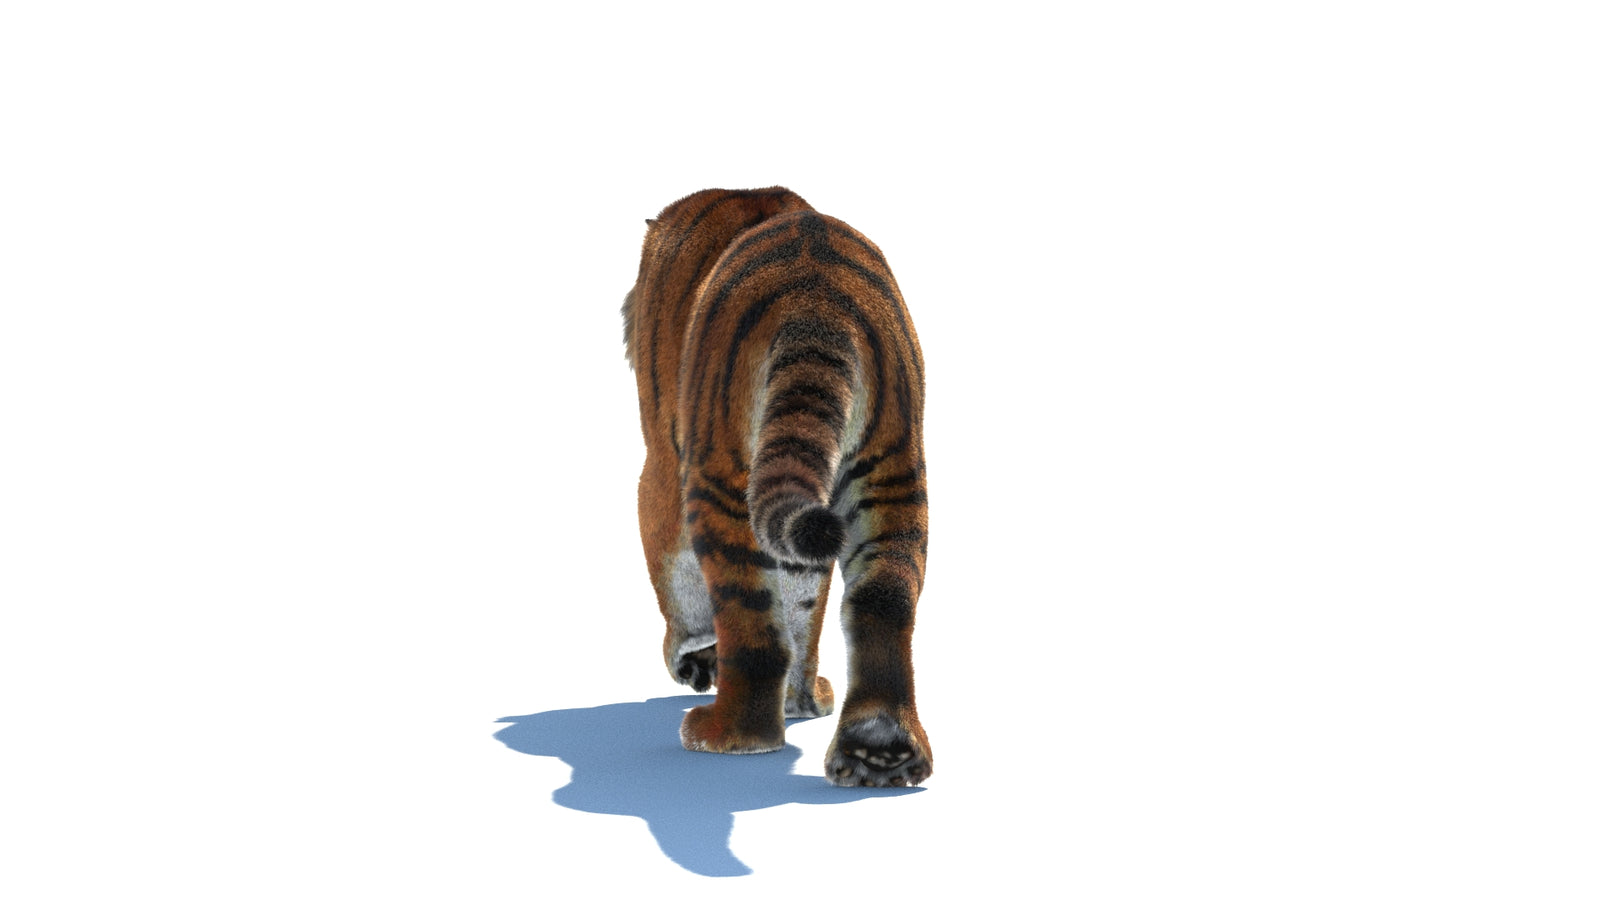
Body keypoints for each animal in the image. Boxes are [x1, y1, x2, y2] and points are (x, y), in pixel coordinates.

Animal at [621, 186, 932, 787]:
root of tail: (820, 303)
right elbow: (806, 607)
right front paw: (803, 701)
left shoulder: (662, 467)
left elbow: (675, 574)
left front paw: (692, 657)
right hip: (893, 476)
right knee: (882, 600)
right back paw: (878, 752)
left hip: (720, 479)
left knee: (752, 625)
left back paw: (725, 735)